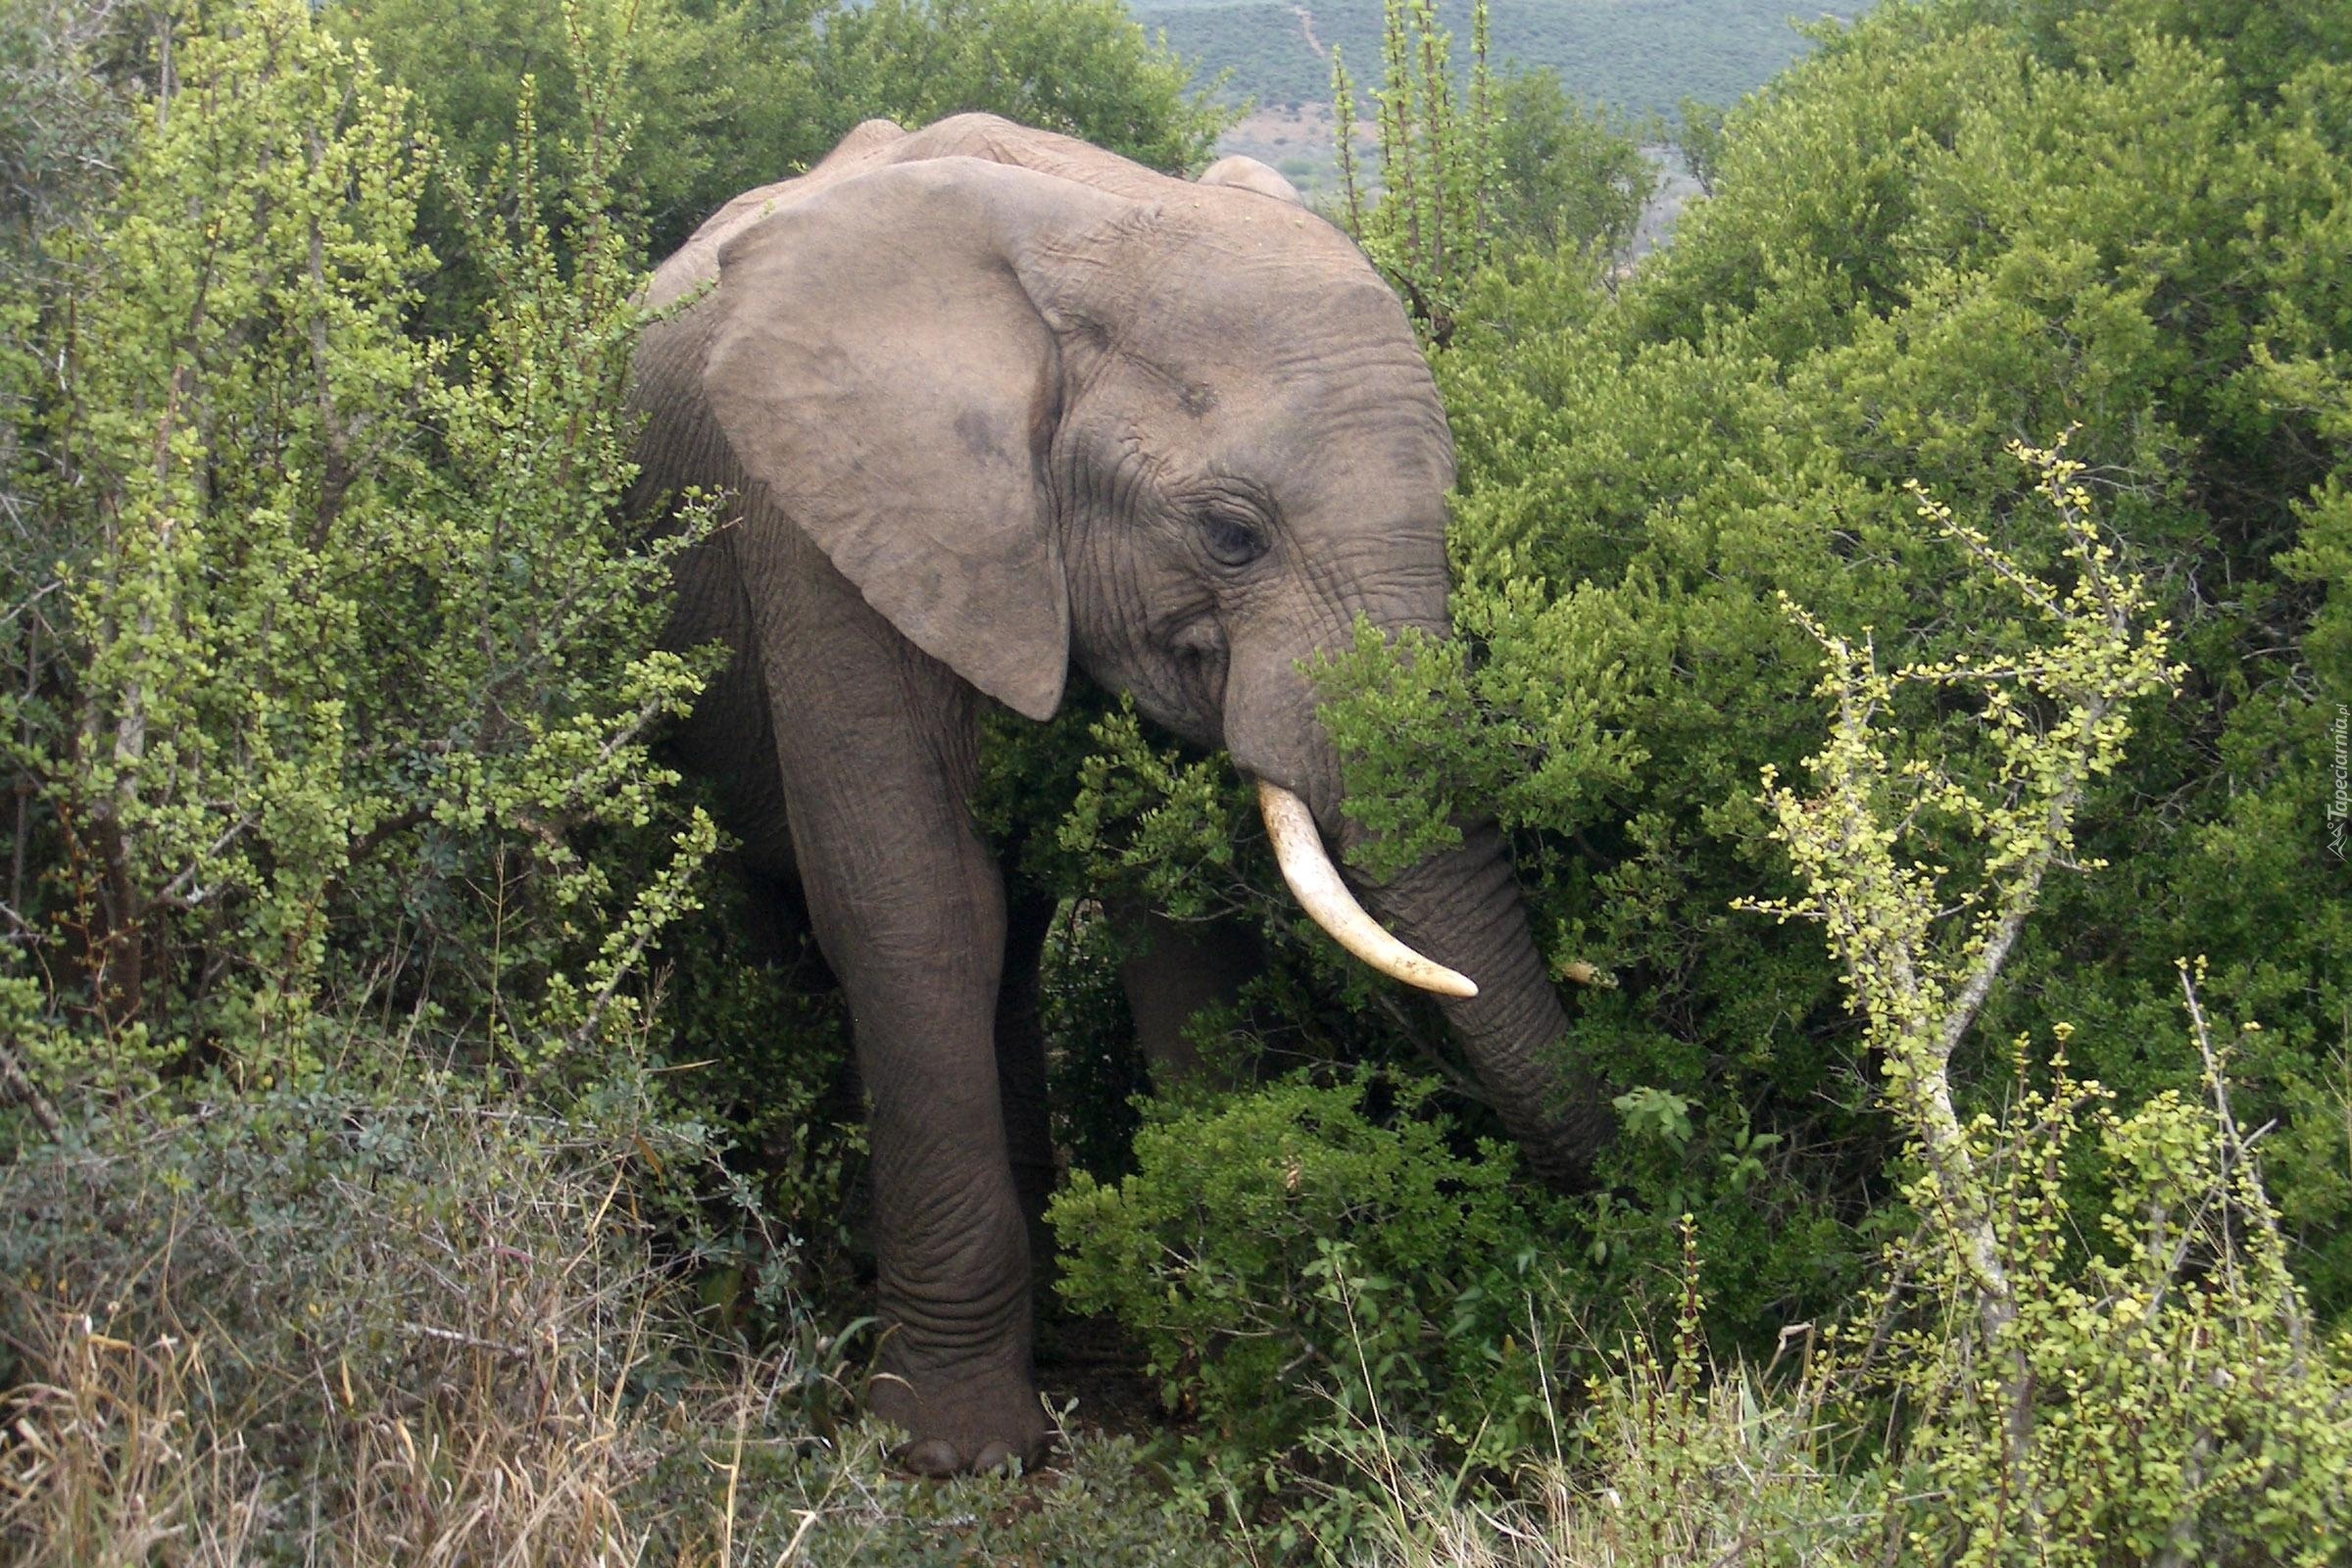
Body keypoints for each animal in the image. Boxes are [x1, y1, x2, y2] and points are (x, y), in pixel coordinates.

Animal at [625, 116, 1618, 1476]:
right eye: (1232, 535)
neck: (1088, 226)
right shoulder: (817, 530)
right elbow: (915, 913)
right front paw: (954, 1455)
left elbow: (1177, 931)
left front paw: (1233, 1379)